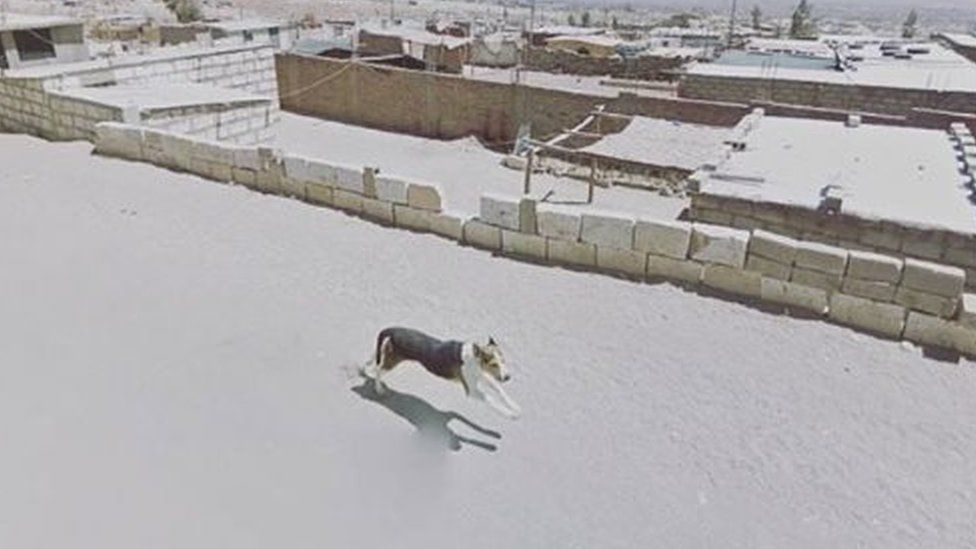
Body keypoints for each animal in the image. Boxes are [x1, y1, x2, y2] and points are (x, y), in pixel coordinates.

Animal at [362, 326, 524, 420]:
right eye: (493, 364)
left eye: (503, 361)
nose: (507, 377)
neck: (475, 357)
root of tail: (392, 330)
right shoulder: (472, 390)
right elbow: (490, 399)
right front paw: (510, 414)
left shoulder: (481, 375)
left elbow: (499, 390)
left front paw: (515, 407)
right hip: (393, 361)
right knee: (378, 370)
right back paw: (378, 388)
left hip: (388, 354)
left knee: (375, 358)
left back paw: (366, 366)